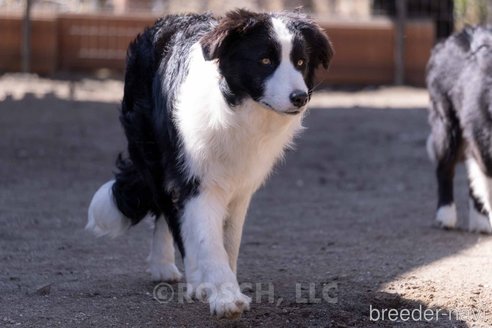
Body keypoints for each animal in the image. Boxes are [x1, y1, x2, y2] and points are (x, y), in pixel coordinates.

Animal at [86, 9, 332, 318]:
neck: (237, 111)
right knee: (168, 210)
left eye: (301, 62)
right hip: (156, 156)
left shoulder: (241, 186)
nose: (300, 98)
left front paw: (225, 287)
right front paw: (224, 297)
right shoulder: (197, 180)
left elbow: (229, 241)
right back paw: (177, 271)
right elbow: (206, 239)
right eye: (265, 60)